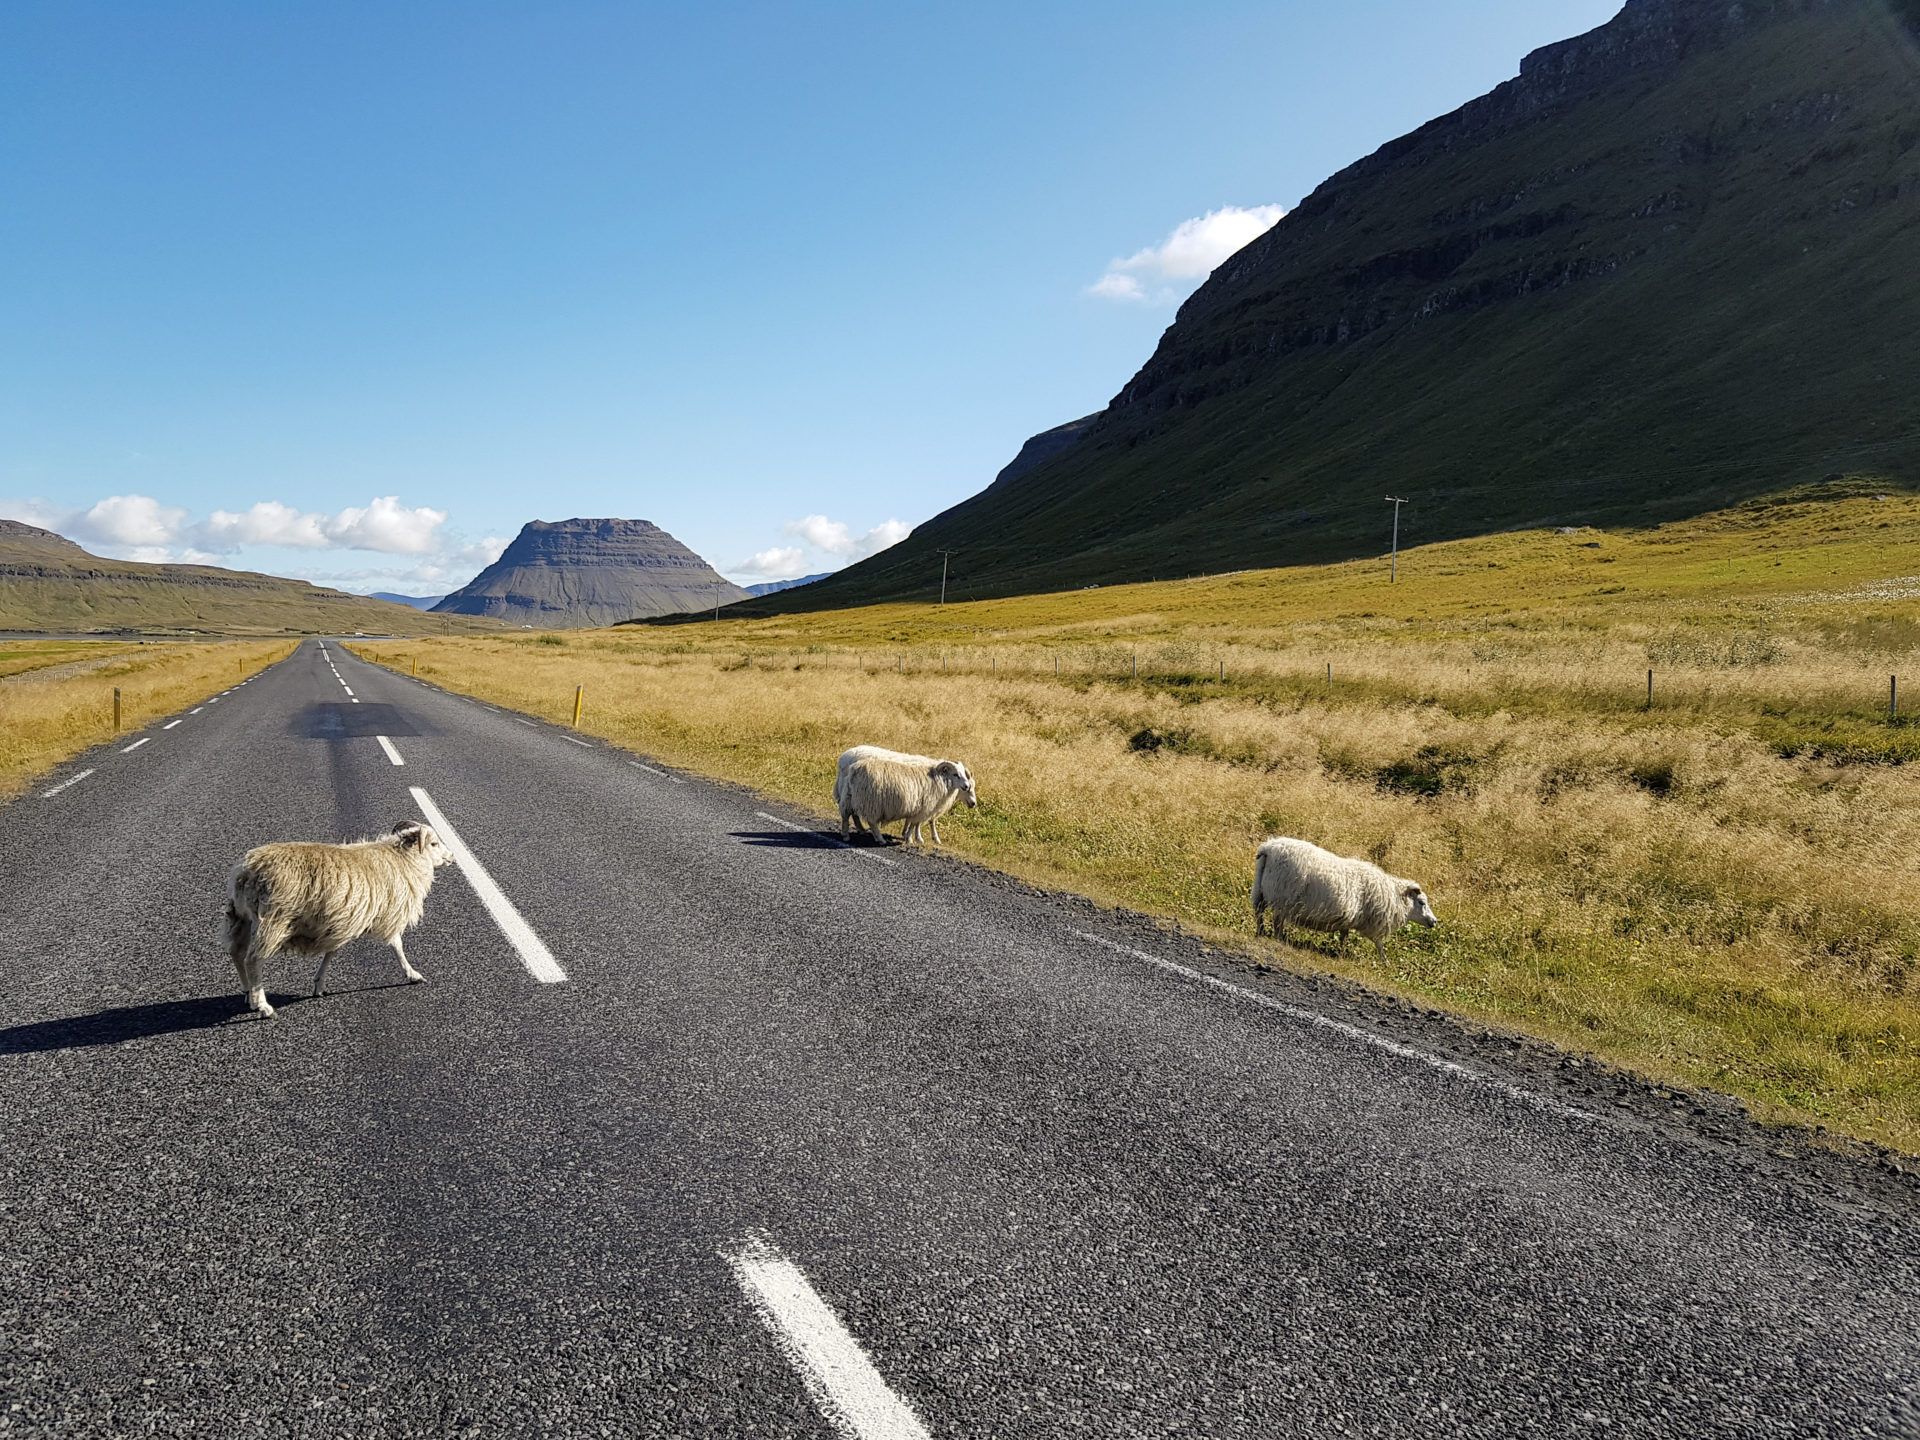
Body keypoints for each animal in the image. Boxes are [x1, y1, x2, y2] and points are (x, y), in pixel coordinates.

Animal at [222, 817, 451, 1021]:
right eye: (434, 843)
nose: (451, 857)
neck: (404, 859)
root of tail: (246, 871)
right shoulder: (386, 915)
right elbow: (397, 945)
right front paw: (412, 974)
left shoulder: (343, 921)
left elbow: (332, 951)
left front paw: (319, 984)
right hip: (273, 921)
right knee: (252, 960)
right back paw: (262, 1006)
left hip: (241, 918)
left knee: (237, 952)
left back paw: (248, 993)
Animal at [833, 744, 975, 844]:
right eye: (956, 774)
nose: (973, 803)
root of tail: (845, 757)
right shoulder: (925, 806)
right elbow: (919, 822)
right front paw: (915, 838)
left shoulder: (917, 805)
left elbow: (914, 822)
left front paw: (908, 835)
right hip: (870, 801)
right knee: (870, 821)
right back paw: (879, 838)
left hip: (851, 797)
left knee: (848, 814)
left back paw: (849, 834)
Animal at [1251, 833, 1436, 960]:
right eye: (1421, 902)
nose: (1434, 921)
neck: (1393, 896)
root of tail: (1269, 848)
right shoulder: (1373, 922)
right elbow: (1379, 944)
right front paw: (1385, 962)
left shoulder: (1348, 919)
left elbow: (1343, 936)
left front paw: (1340, 952)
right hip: (1283, 897)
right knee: (1277, 921)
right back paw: (1278, 938)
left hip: (1260, 891)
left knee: (1259, 913)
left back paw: (1261, 932)